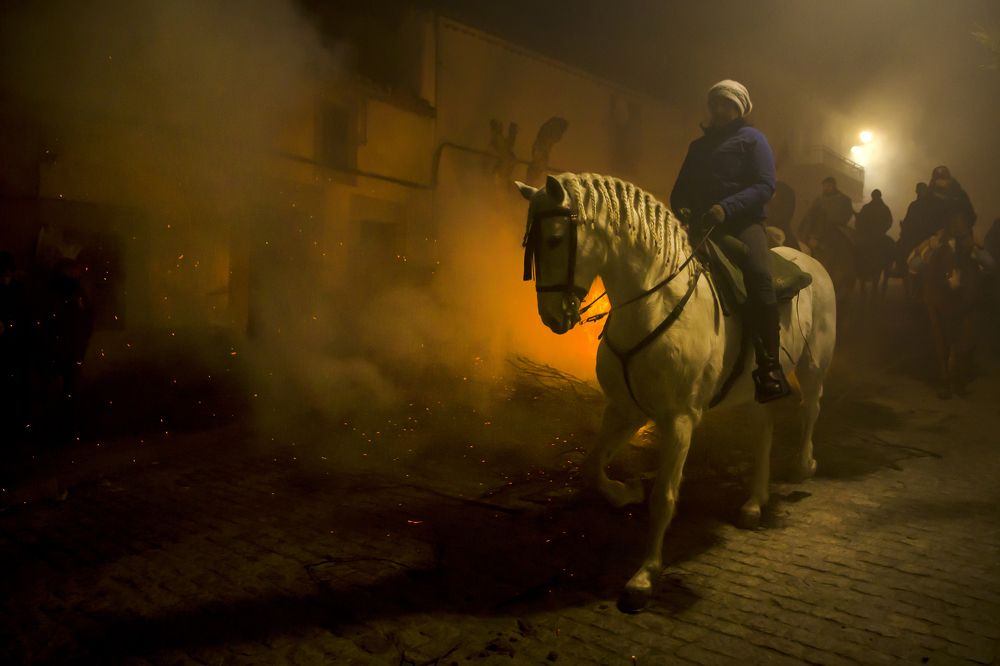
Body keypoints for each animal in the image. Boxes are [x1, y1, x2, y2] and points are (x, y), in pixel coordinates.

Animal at [517, 174, 837, 610]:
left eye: (553, 239)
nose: (552, 317)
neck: (652, 303)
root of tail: (812, 263)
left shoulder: (679, 420)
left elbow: (664, 497)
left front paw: (644, 575)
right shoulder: (624, 408)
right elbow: (592, 466)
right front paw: (625, 493)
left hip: (813, 366)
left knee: (811, 409)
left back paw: (804, 464)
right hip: (749, 391)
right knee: (763, 431)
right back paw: (754, 502)